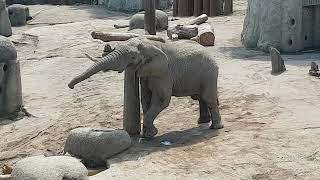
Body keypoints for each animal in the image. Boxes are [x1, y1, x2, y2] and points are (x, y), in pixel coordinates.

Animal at [68, 37, 222, 137]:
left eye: (132, 57)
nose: (70, 87)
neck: (150, 44)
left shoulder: (163, 73)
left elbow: (161, 101)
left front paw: (150, 135)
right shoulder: (146, 73)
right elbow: (146, 98)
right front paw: (148, 135)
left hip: (209, 73)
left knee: (208, 98)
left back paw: (215, 127)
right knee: (200, 98)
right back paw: (203, 121)